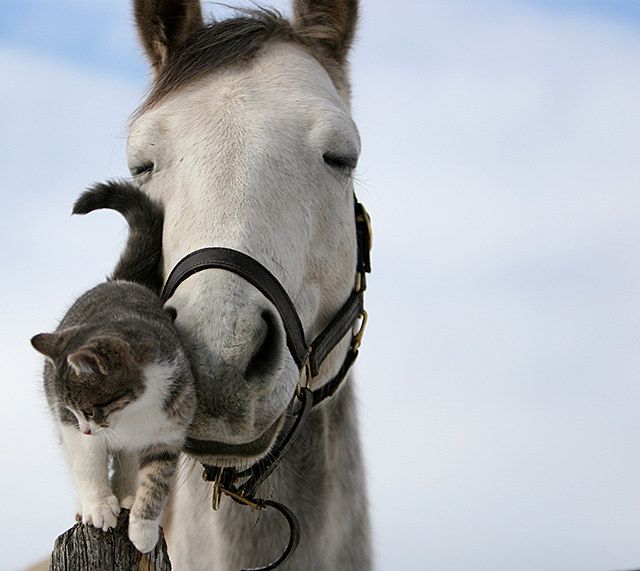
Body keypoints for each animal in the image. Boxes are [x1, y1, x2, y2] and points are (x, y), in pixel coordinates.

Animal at [31, 182, 195, 556]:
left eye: (93, 408)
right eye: (77, 410)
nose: (88, 428)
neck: (133, 412)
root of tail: (120, 281)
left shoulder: (170, 426)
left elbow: (156, 478)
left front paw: (143, 527)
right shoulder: (70, 424)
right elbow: (86, 461)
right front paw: (97, 506)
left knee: (127, 461)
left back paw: (126, 495)